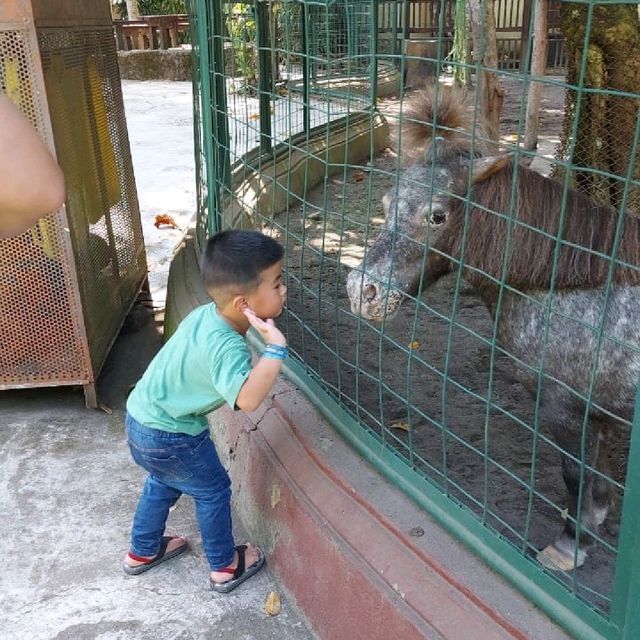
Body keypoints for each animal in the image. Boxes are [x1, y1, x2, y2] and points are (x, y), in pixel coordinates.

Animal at [348, 85, 640, 568]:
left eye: (437, 216)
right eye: (387, 205)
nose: (361, 291)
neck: (573, 288)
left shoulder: (566, 408)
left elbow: (576, 473)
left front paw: (569, 546)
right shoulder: (595, 413)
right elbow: (596, 476)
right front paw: (592, 522)